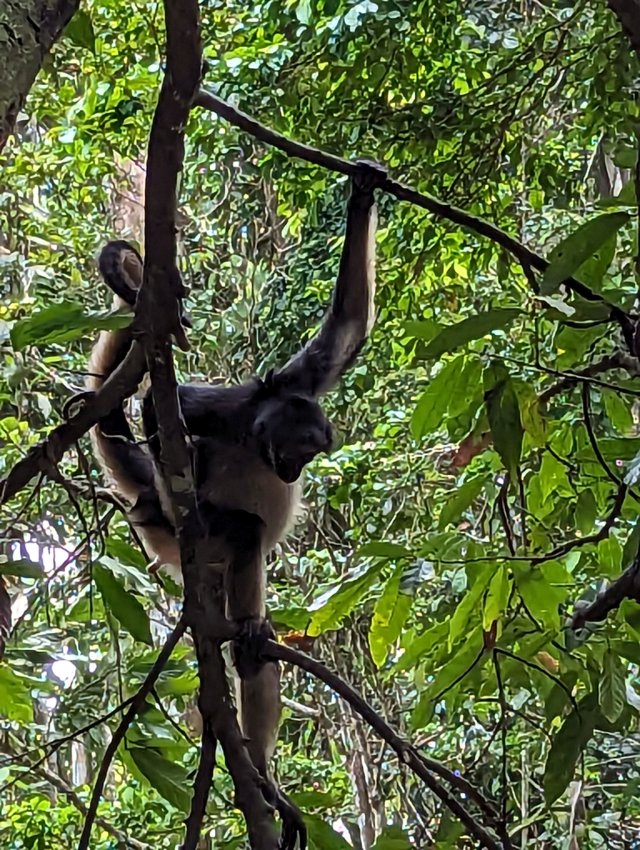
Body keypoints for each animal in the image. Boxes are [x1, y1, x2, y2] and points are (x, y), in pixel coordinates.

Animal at [82, 160, 386, 848]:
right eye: (295, 452)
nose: (294, 470)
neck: (253, 430)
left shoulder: (295, 383)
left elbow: (347, 331)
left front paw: (362, 192)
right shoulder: (232, 407)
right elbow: (156, 411)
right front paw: (189, 484)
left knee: (256, 648)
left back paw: (262, 753)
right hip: (169, 538)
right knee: (243, 532)